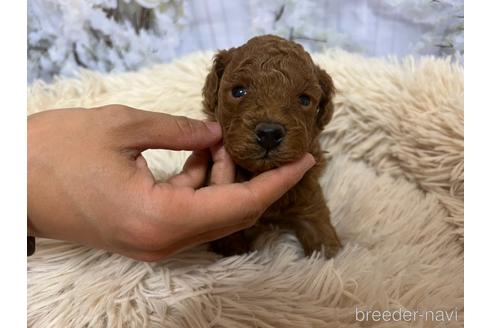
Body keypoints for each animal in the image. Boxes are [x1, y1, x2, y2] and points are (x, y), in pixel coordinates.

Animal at [202, 34, 340, 258]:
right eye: (239, 91)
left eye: (304, 99)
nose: (269, 134)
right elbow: (231, 244)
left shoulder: (310, 204)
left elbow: (324, 240)